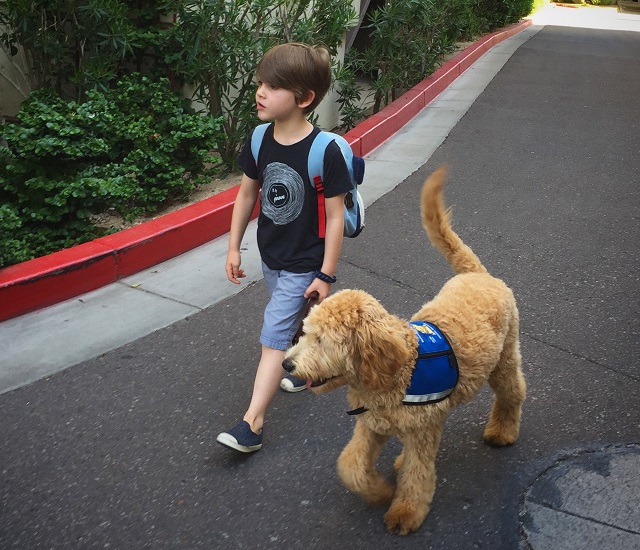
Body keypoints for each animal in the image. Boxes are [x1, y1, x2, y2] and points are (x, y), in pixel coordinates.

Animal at [282, 167, 528, 536]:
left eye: (322, 340)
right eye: (305, 333)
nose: (286, 364)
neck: (399, 369)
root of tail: (476, 275)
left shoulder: (421, 433)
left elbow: (417, 474)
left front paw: (404, 511)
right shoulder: (370, 425)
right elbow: (350, 465)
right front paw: (381, 490)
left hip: (504, 359)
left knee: (512, 392)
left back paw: (503, 431)